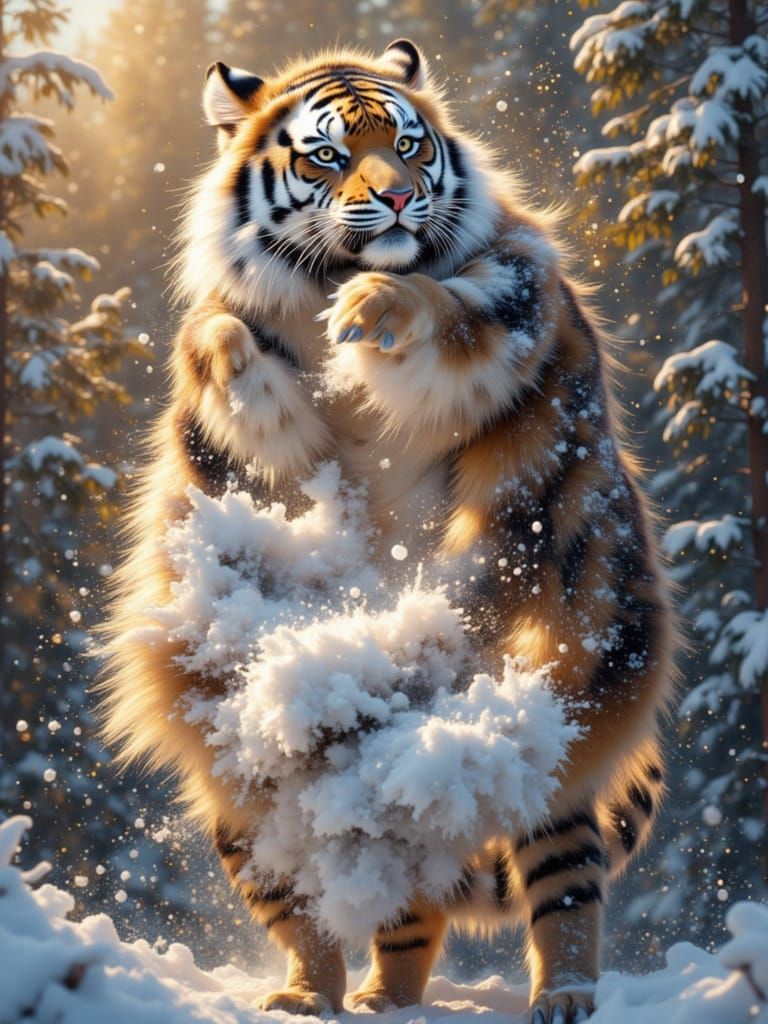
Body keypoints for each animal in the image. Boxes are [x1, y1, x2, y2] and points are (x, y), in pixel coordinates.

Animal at [99, 40, 677, 1024]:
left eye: (409, 144)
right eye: (328, 156)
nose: (402, 199)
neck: (325, 276)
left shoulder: (514, 288)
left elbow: (447, 306)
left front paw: (376, 309)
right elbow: (219, 339)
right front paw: (237, 364)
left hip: (551, 720)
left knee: (560, 884)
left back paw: (562, 997)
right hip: (247, 796)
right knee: (349, 900)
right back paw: (327, 996)